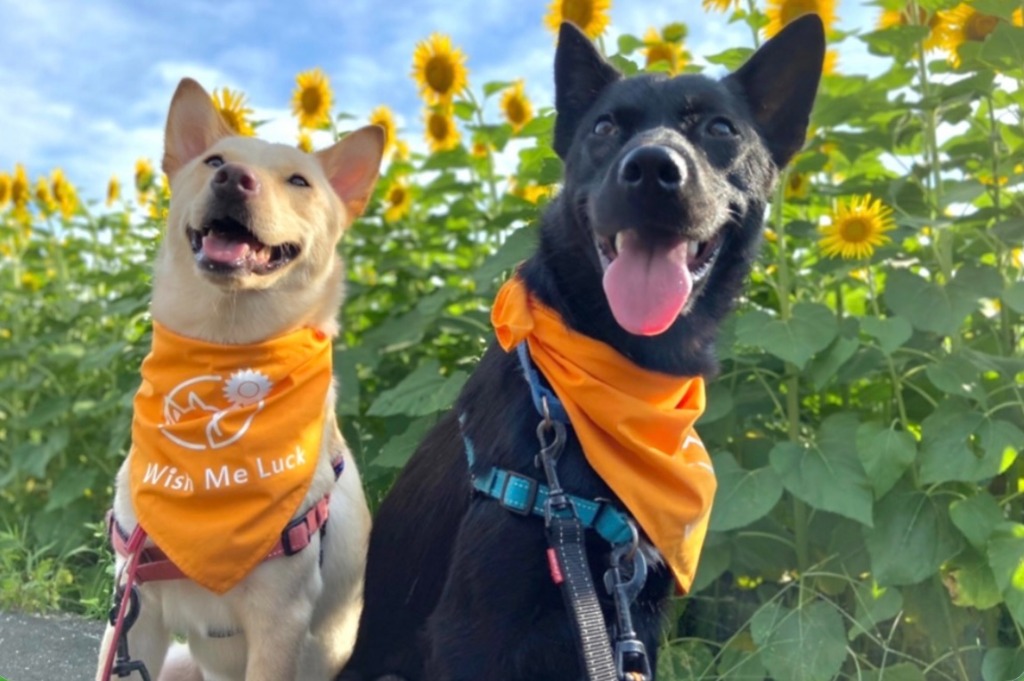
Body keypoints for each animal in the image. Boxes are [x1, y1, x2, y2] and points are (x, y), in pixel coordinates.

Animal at [96, 78, 382, 681]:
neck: (225, 347)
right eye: (214, 161)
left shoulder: (280, 618)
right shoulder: (135, 609)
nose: (233, 179)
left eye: (298, 180)